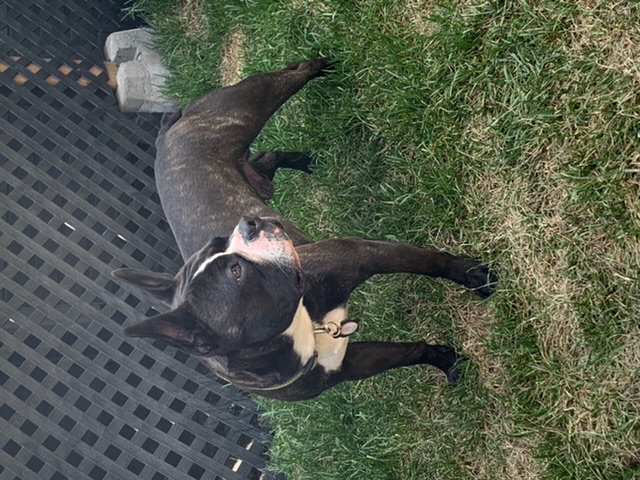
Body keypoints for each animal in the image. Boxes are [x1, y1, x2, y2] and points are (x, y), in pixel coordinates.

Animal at [112, 58, 497, 401]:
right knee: (265, 158)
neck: (302, 328)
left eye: (220, 243)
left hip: (247, 106)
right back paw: (302, 158)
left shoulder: (361, 255)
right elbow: (407, 352)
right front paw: (444, 360)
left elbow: (430, 262)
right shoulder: (349, 362)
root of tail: (164, 140)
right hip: (252, 159)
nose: (246, 224)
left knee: (291, 75)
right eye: (236, 272)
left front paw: (473, 275)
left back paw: (321, 65)